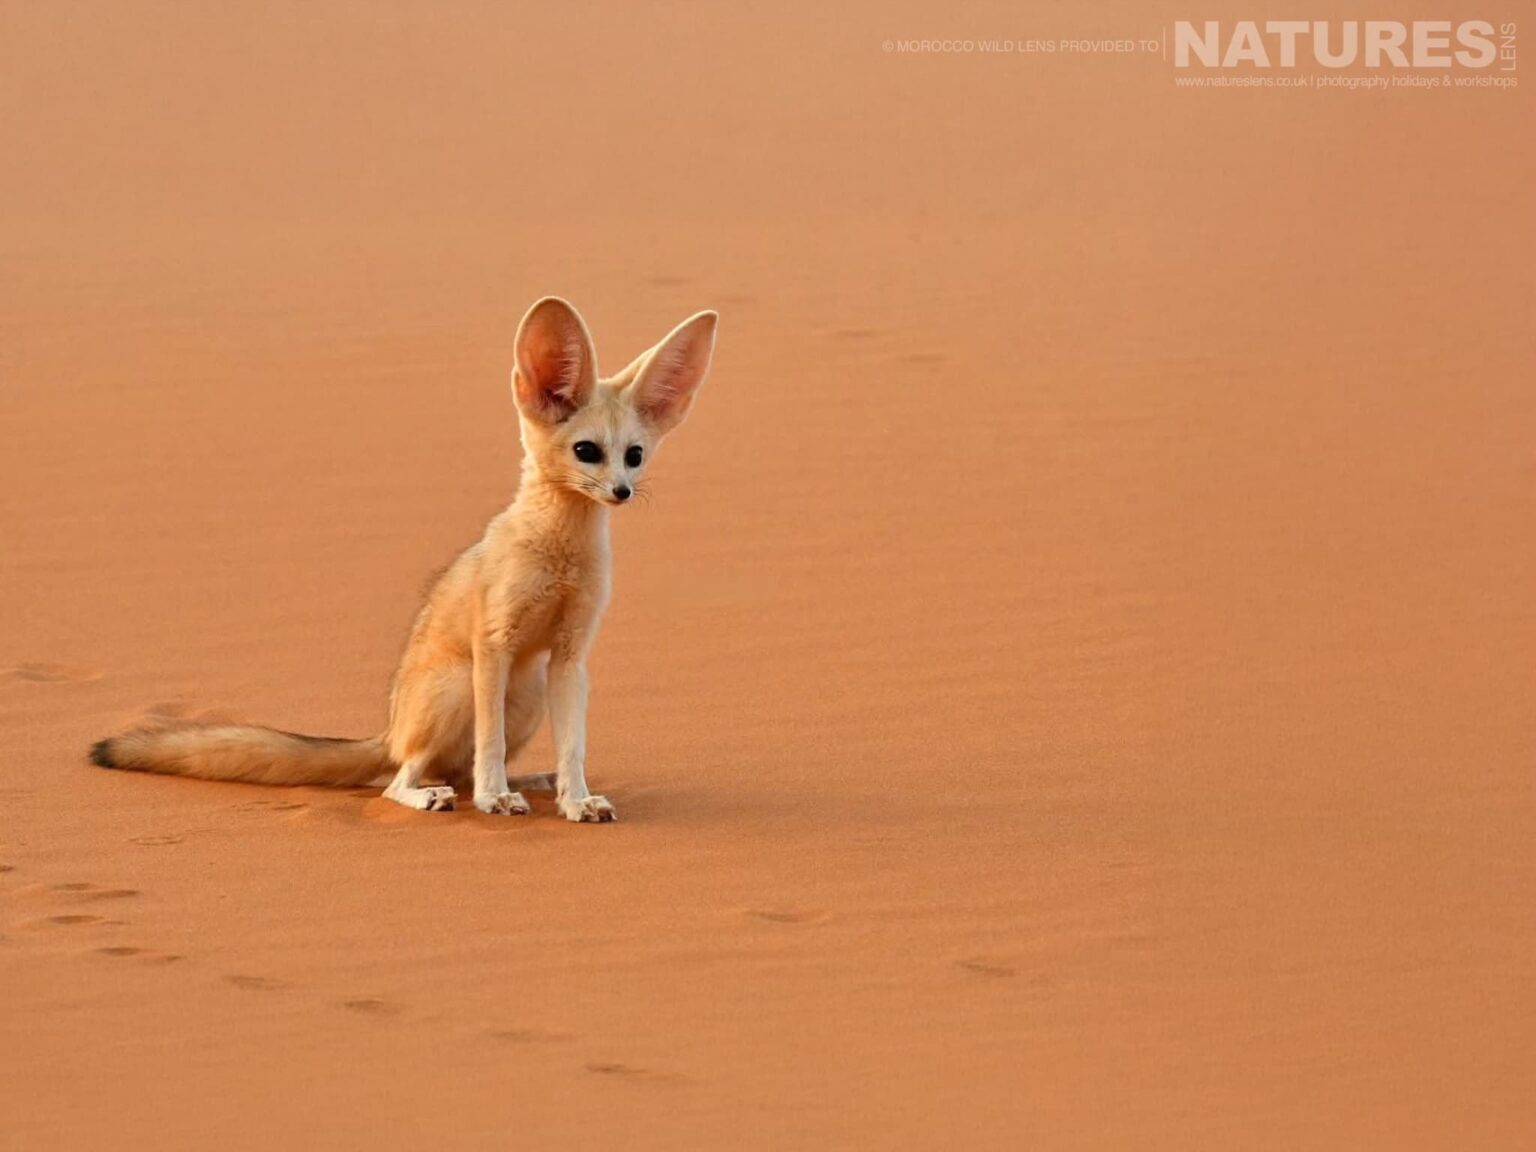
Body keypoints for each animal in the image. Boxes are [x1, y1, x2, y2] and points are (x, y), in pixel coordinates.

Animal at [89, 297, 718, 821]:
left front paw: (576, 799)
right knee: (401, 779)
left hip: (531, 689)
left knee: (456, 769)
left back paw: (529, 783)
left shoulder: (569, 655)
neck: (559, 556)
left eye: (634, 456)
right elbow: (488, 745)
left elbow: (574, 748)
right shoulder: (494, 643)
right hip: (463, 686)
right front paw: (495, 798)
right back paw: (443, 795)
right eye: (587, 451)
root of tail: (388, 731)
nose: (622, 492)